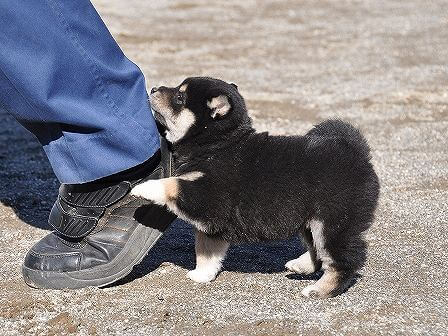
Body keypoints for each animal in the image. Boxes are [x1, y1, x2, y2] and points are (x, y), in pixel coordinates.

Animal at [131, 77, 380, 298]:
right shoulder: (212, 223)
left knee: (343, 262)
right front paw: (202, 275)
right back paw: (300, 266)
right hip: (308, 219)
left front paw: (143, 188)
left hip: (332, 223)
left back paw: (321, 290)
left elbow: (172, 185)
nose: (153, 88)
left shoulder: (208, 197)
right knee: (317, 251)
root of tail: (357, 154)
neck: (217, 145)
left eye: (180, 97)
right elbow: (206, 251)